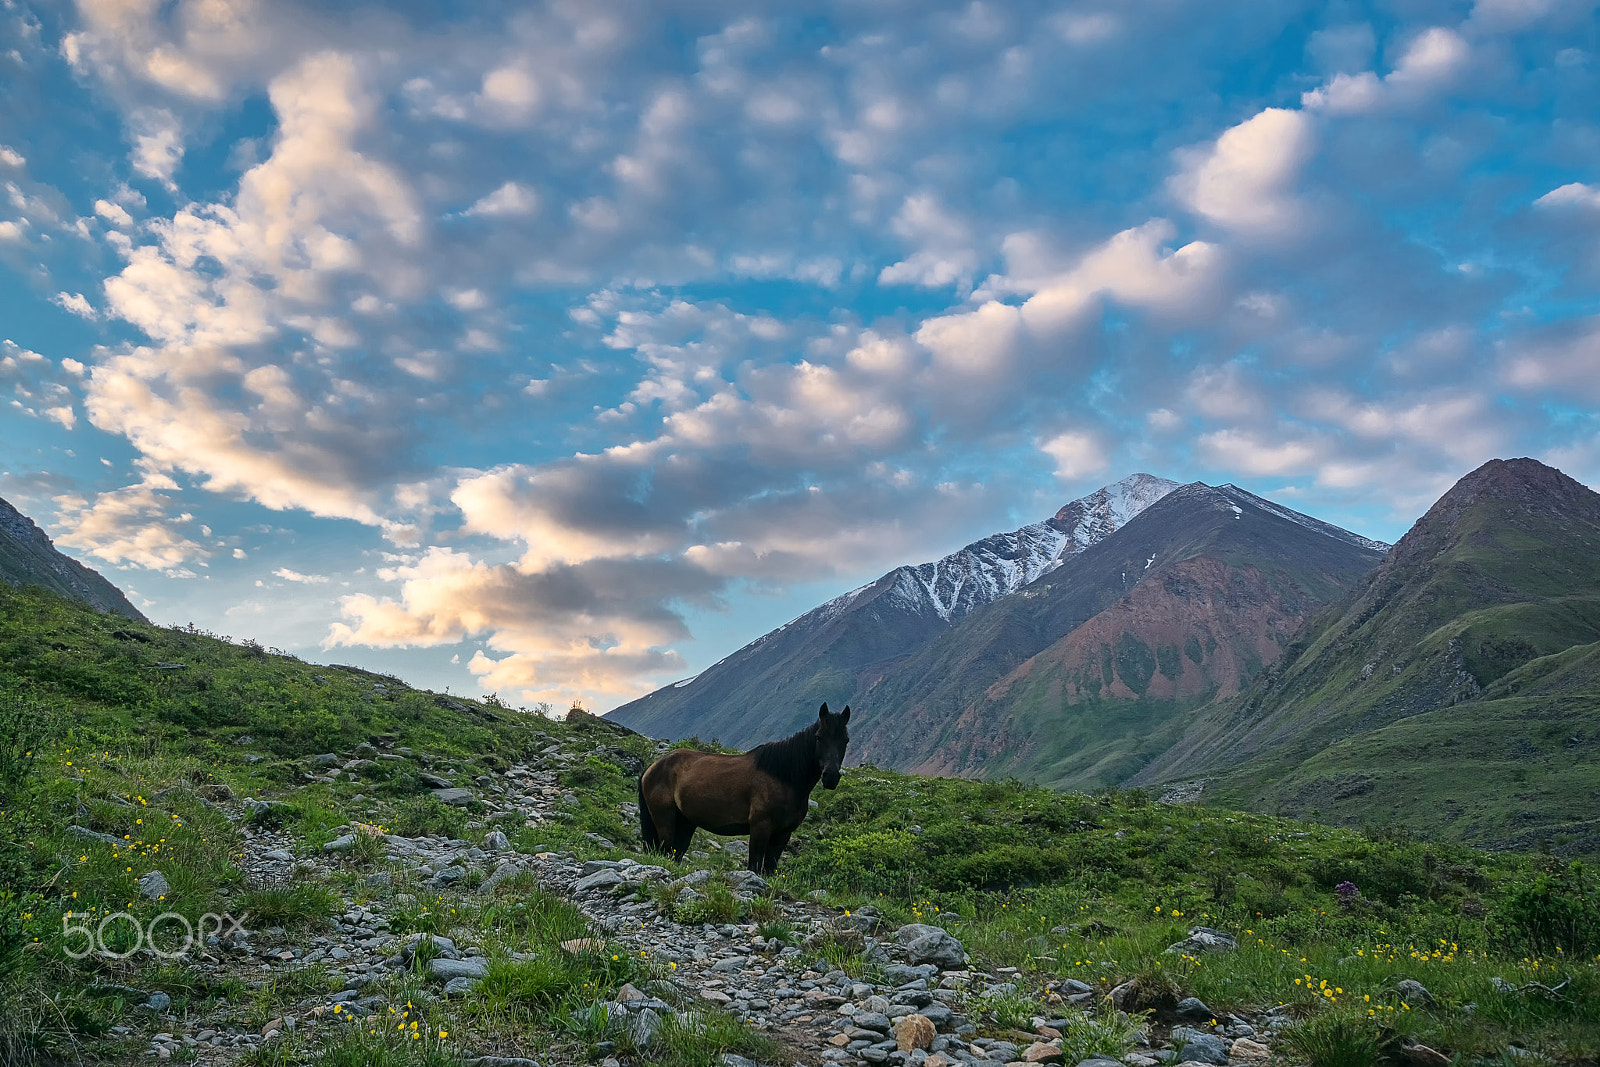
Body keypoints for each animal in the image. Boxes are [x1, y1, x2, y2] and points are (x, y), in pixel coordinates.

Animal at [637, 703, 851, 875]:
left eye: (845, 740)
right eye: (819, 737)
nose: (831, 777)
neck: (783, 778)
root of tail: (652, 767)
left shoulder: (783, 833)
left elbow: (769, 868)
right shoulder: (760, 829)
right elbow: (754, 867)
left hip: (686, 823)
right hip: (665, 821)